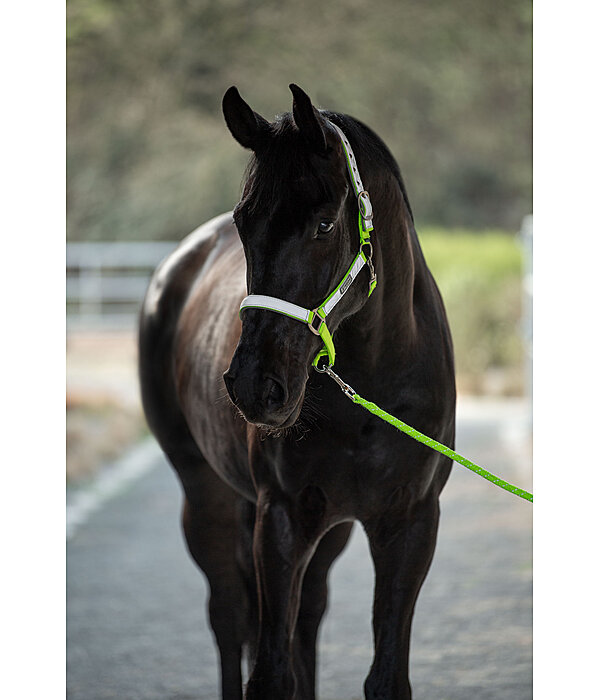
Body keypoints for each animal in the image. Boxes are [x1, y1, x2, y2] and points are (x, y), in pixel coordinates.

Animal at [139, 85, 454, 696]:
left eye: (326, 225)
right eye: (244, 222)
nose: (253, 387)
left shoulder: (410, 523)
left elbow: (384, 676)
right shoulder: (280, 519)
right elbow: (268, 671)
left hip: (327, 532)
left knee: (307, 616)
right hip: (207, 497)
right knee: (230, 618)